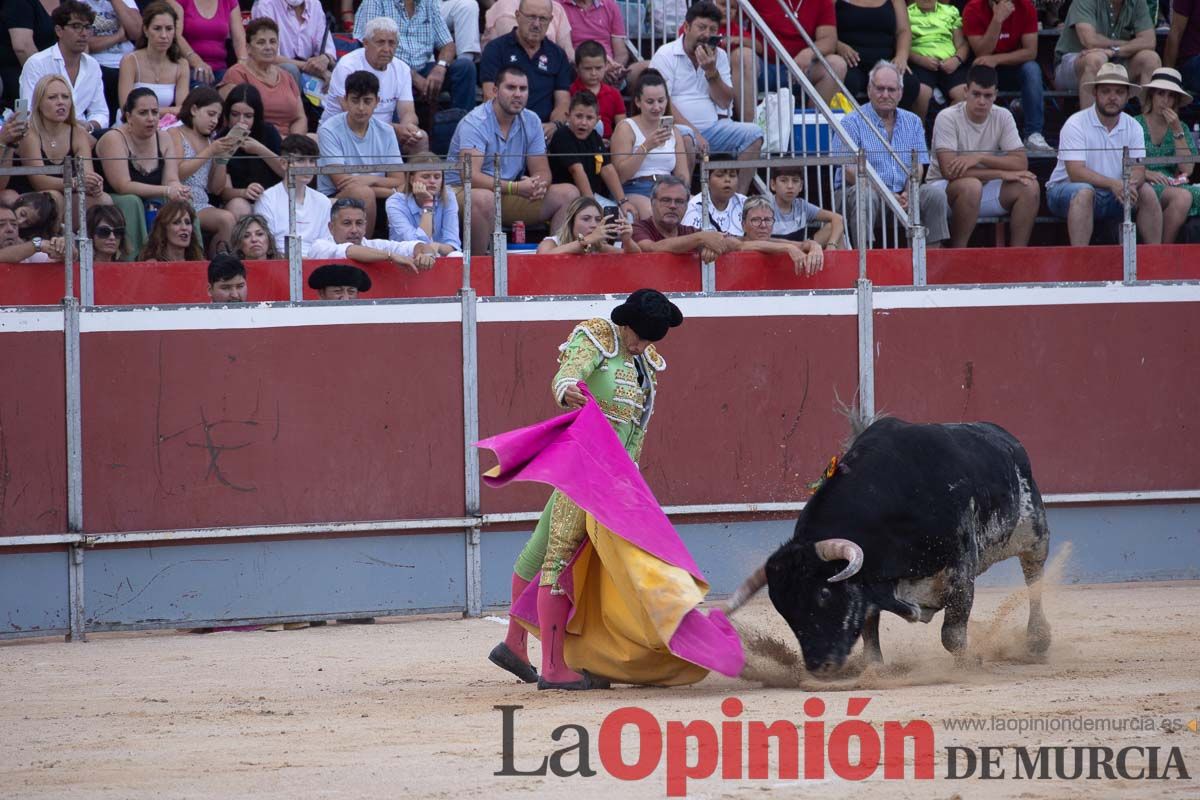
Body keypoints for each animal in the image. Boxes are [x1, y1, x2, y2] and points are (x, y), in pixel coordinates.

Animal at [720, 417, 1051, 681]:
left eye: (823, 593)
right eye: (783, 608)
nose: (818, 666)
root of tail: (1006, 438)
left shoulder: (960, 568)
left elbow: (952, 634)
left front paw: (968, 665)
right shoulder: (868, 581)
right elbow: (869, 629)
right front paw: (875, 669)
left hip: (1033, 532)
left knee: (1034, 576)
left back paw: (1038, 641)